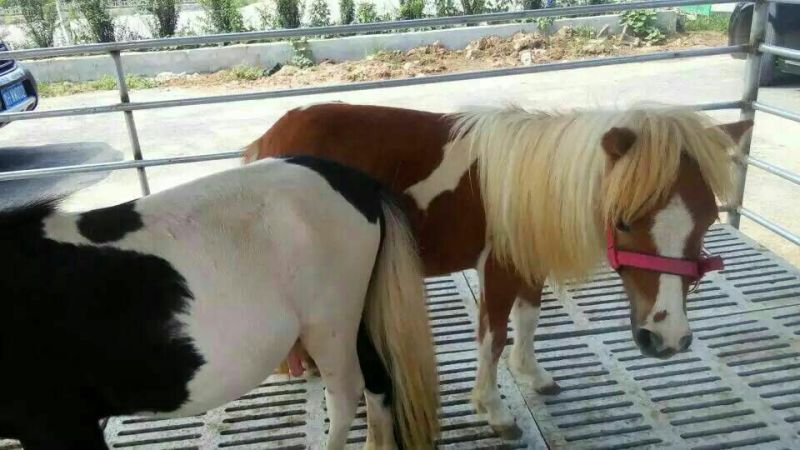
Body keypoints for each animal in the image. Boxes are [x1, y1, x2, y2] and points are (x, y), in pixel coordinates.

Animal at [0, 156, 439, 450]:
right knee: (378, 380)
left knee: (346, 394)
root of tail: (358, 182)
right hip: (352, 316)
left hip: (329, 323)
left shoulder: (58, 421)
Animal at [244, 102, 753, 438]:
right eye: (624, 221)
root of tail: (269, 139)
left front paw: (532, 374)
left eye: (709, 219)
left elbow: (528, 320)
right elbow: (493, 336)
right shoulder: (500, 269)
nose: (667, 339)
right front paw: (494, 409)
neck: (533, 182)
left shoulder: (528, 264)